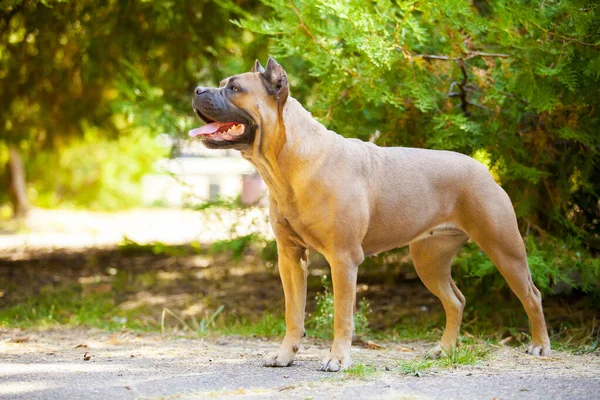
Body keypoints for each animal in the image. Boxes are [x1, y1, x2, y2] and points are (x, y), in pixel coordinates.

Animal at [190, 57, 552, 372]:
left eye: (234, 88)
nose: (197, 90)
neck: (287, 163)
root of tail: (483, 167)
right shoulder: (290, 257)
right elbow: (294, 312)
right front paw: (285, 355)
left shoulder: (343, 259)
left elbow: (341, 316)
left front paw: (337, 359)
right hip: (429, 259)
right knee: (456, 300)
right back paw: (444, 350)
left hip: (504, 248)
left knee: (531, 295)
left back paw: (539, 345)